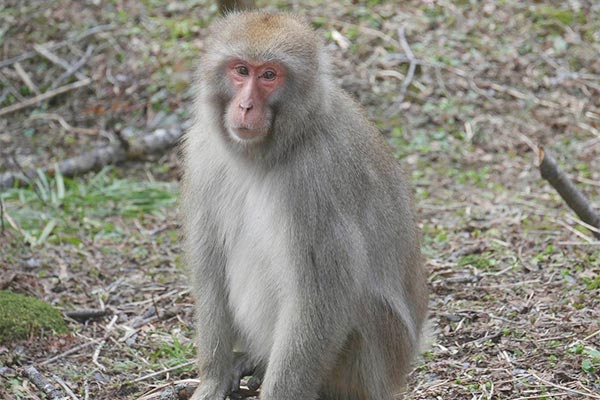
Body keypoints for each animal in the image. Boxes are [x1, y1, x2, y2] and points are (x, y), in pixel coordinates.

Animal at [180, 10, 428, 398]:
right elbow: (210, 266)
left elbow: (320, 298)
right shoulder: (203, 152)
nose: (245, 106)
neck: (271, 150)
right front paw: (213, 379)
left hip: (372, 362)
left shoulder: (318, 177)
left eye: (269, 75)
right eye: (241, 70)